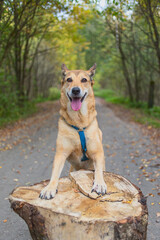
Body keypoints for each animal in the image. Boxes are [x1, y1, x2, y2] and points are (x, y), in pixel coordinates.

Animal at [39, 63, 107, 199]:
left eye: (84, 80)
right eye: (69, 79)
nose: (75, 90)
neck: (78, 123)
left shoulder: (97, 153)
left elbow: (98, 171)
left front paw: (100, 183)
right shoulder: (61, 154)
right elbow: (54, 173)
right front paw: (49, 188)